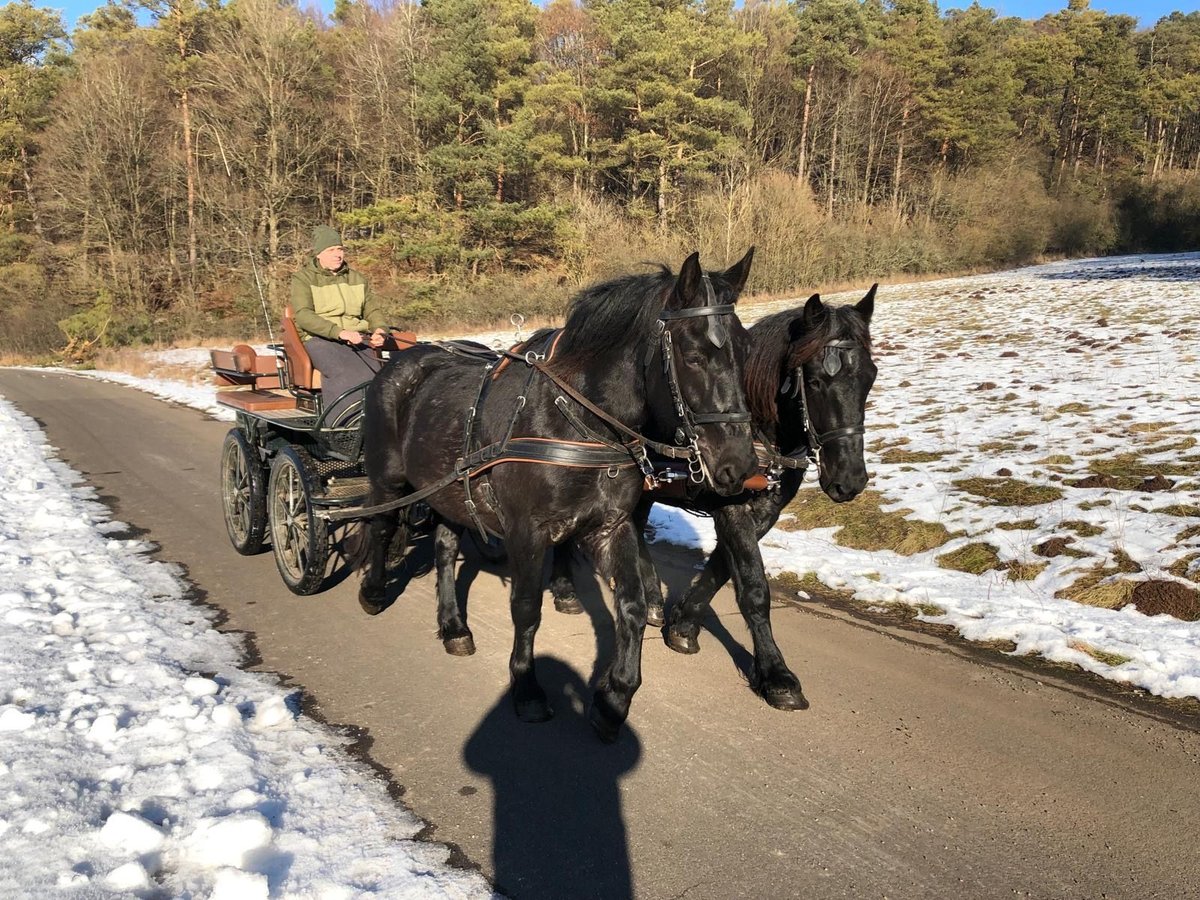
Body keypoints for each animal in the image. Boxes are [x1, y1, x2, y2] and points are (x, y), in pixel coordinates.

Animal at [360, 252, 758, 739]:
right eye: (694, 354)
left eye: (745, 351)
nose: (740, 465)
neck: (574, 421)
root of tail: (402, 359)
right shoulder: (525, 532)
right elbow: (526, 608)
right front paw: (527, 687)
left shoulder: (612, 526)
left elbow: (630, 606)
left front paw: (615, 696)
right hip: (388, 479)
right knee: (379, 524)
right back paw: (373, 592)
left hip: (451, 490)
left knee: (444, 547)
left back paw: (454, 627)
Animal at [549, 289, 878, 710]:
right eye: (816, 381)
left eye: (870, 377)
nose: (850, 480)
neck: (755, 426)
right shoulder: (731, 506)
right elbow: (754, 588)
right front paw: (777, 675)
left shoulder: (763, 510)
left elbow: (722, 568)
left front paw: (684, 623)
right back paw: (565, 590)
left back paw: (652, 599)